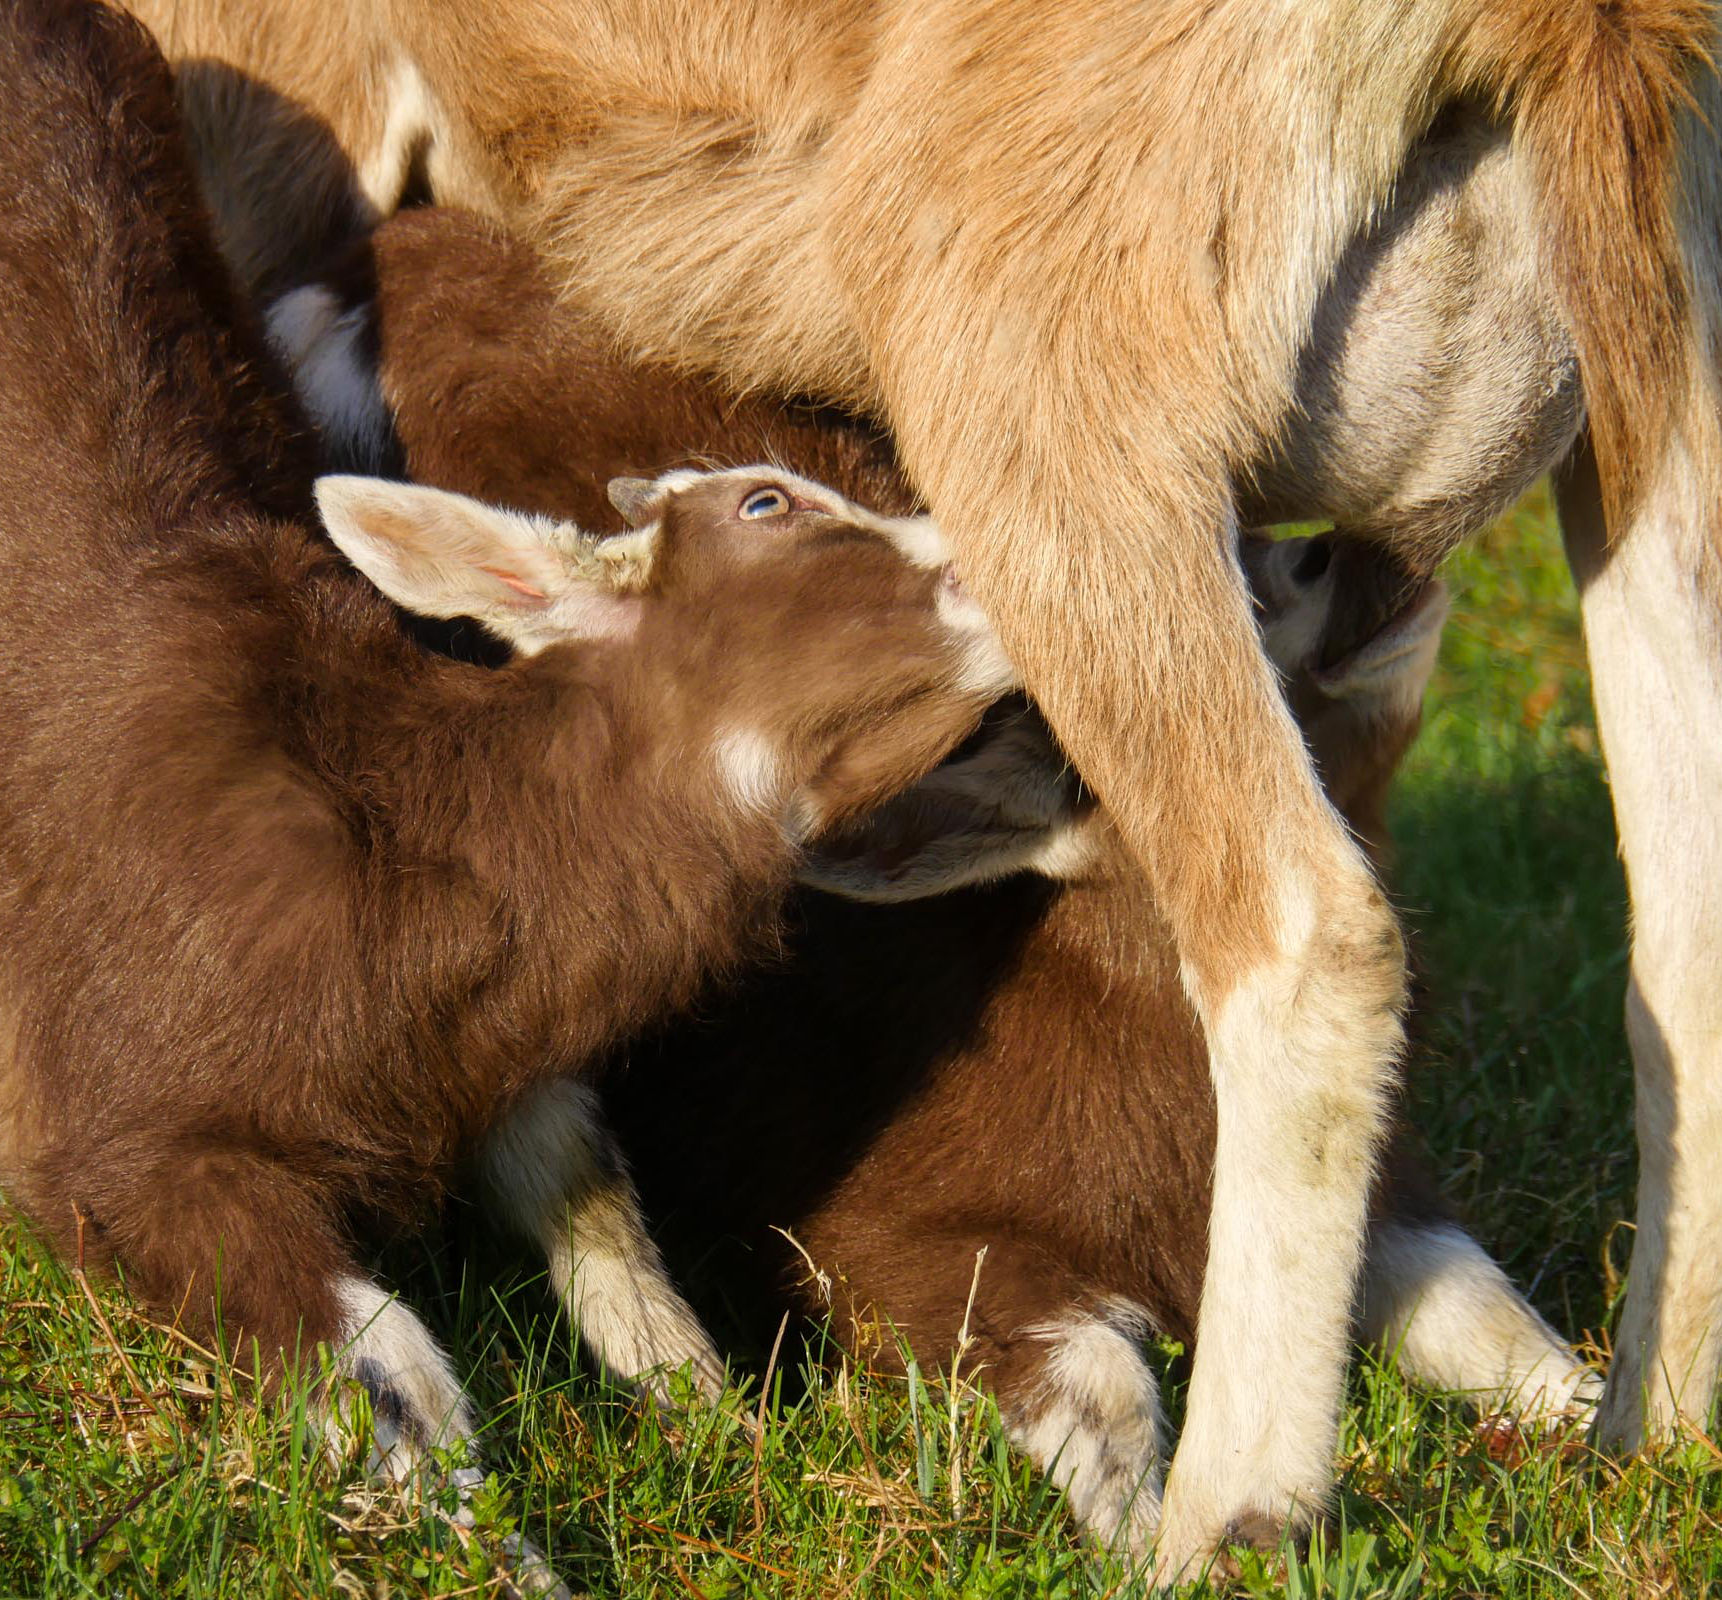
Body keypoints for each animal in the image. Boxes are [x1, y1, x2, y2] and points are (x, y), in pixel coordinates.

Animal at [275, 203, 1591, 1563]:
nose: (1340, 561)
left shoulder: (1385, 1199)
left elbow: (1488, 1313)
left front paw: (1607, 1419)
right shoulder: (894, 1237)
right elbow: (1097, 1379)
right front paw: (1147, 1536)